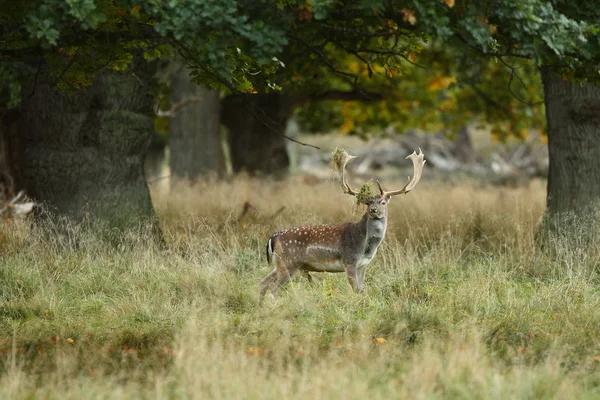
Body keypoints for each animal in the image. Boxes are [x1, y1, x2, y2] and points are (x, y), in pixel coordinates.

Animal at [258, 148, 426, 302]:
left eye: (383, 202)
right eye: (368, 203)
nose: (373, 210)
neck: (365, 247)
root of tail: (273, 237)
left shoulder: (363, 265)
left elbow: (362, 289)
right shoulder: (349, 261)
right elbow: (356, 290)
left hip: (280, 263)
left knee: (263, 283)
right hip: (289, 263)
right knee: (272, 288)